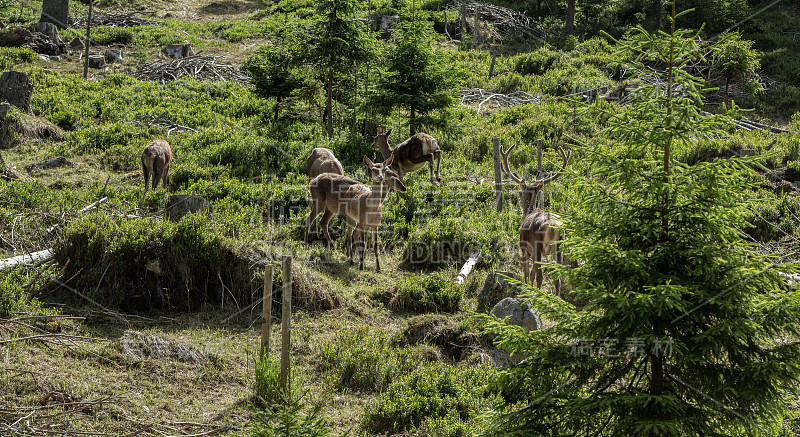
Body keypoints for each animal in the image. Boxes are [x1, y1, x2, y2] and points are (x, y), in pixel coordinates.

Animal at [500, 140, 568, 294]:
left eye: (520, 192)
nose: (518, 198)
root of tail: (554, 227)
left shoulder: (524, 248)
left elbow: (526, 273)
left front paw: (526, 288)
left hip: (538, 246)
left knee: (539, 275)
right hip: (560, 246)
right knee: (558, 278)